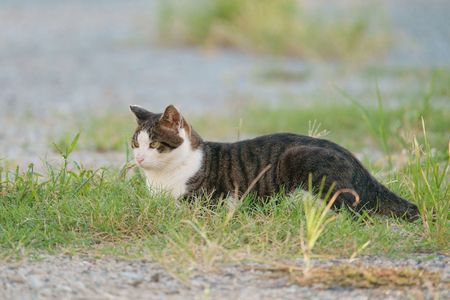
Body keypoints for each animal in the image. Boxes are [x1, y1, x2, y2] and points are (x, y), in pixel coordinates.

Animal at [128, 104, 420, 221]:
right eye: (135, 144)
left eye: (154, 145)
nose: (139, 158)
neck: (161, 179)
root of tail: (356, 161)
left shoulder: (206, 201)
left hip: (301, 161)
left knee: (356, 212)